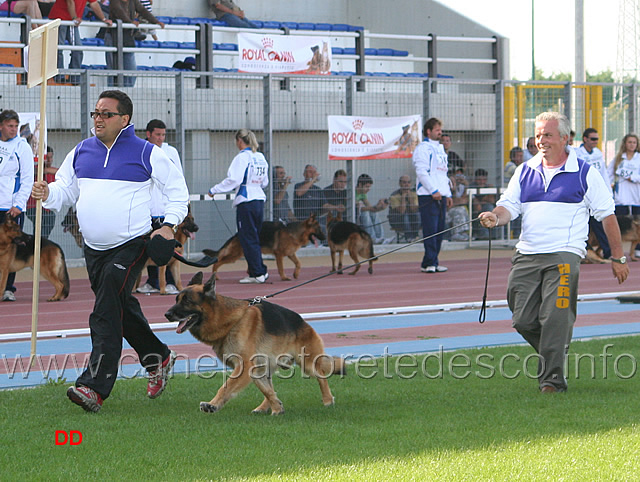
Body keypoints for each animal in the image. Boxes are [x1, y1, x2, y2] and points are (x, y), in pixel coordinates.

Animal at [165, 272, 344, 414]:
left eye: (187, 301)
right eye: (176, 299)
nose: (167, 314)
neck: (229, 320)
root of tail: (303, 322)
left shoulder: (244, 366)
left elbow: (226, 387)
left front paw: (212, 405)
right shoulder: (252, 369)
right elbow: (267, 390)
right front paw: (277, 408)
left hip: (308, 363)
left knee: (321, 376)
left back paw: (327, 400)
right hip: (265, 367)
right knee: (269, 387)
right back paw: (265, 407)